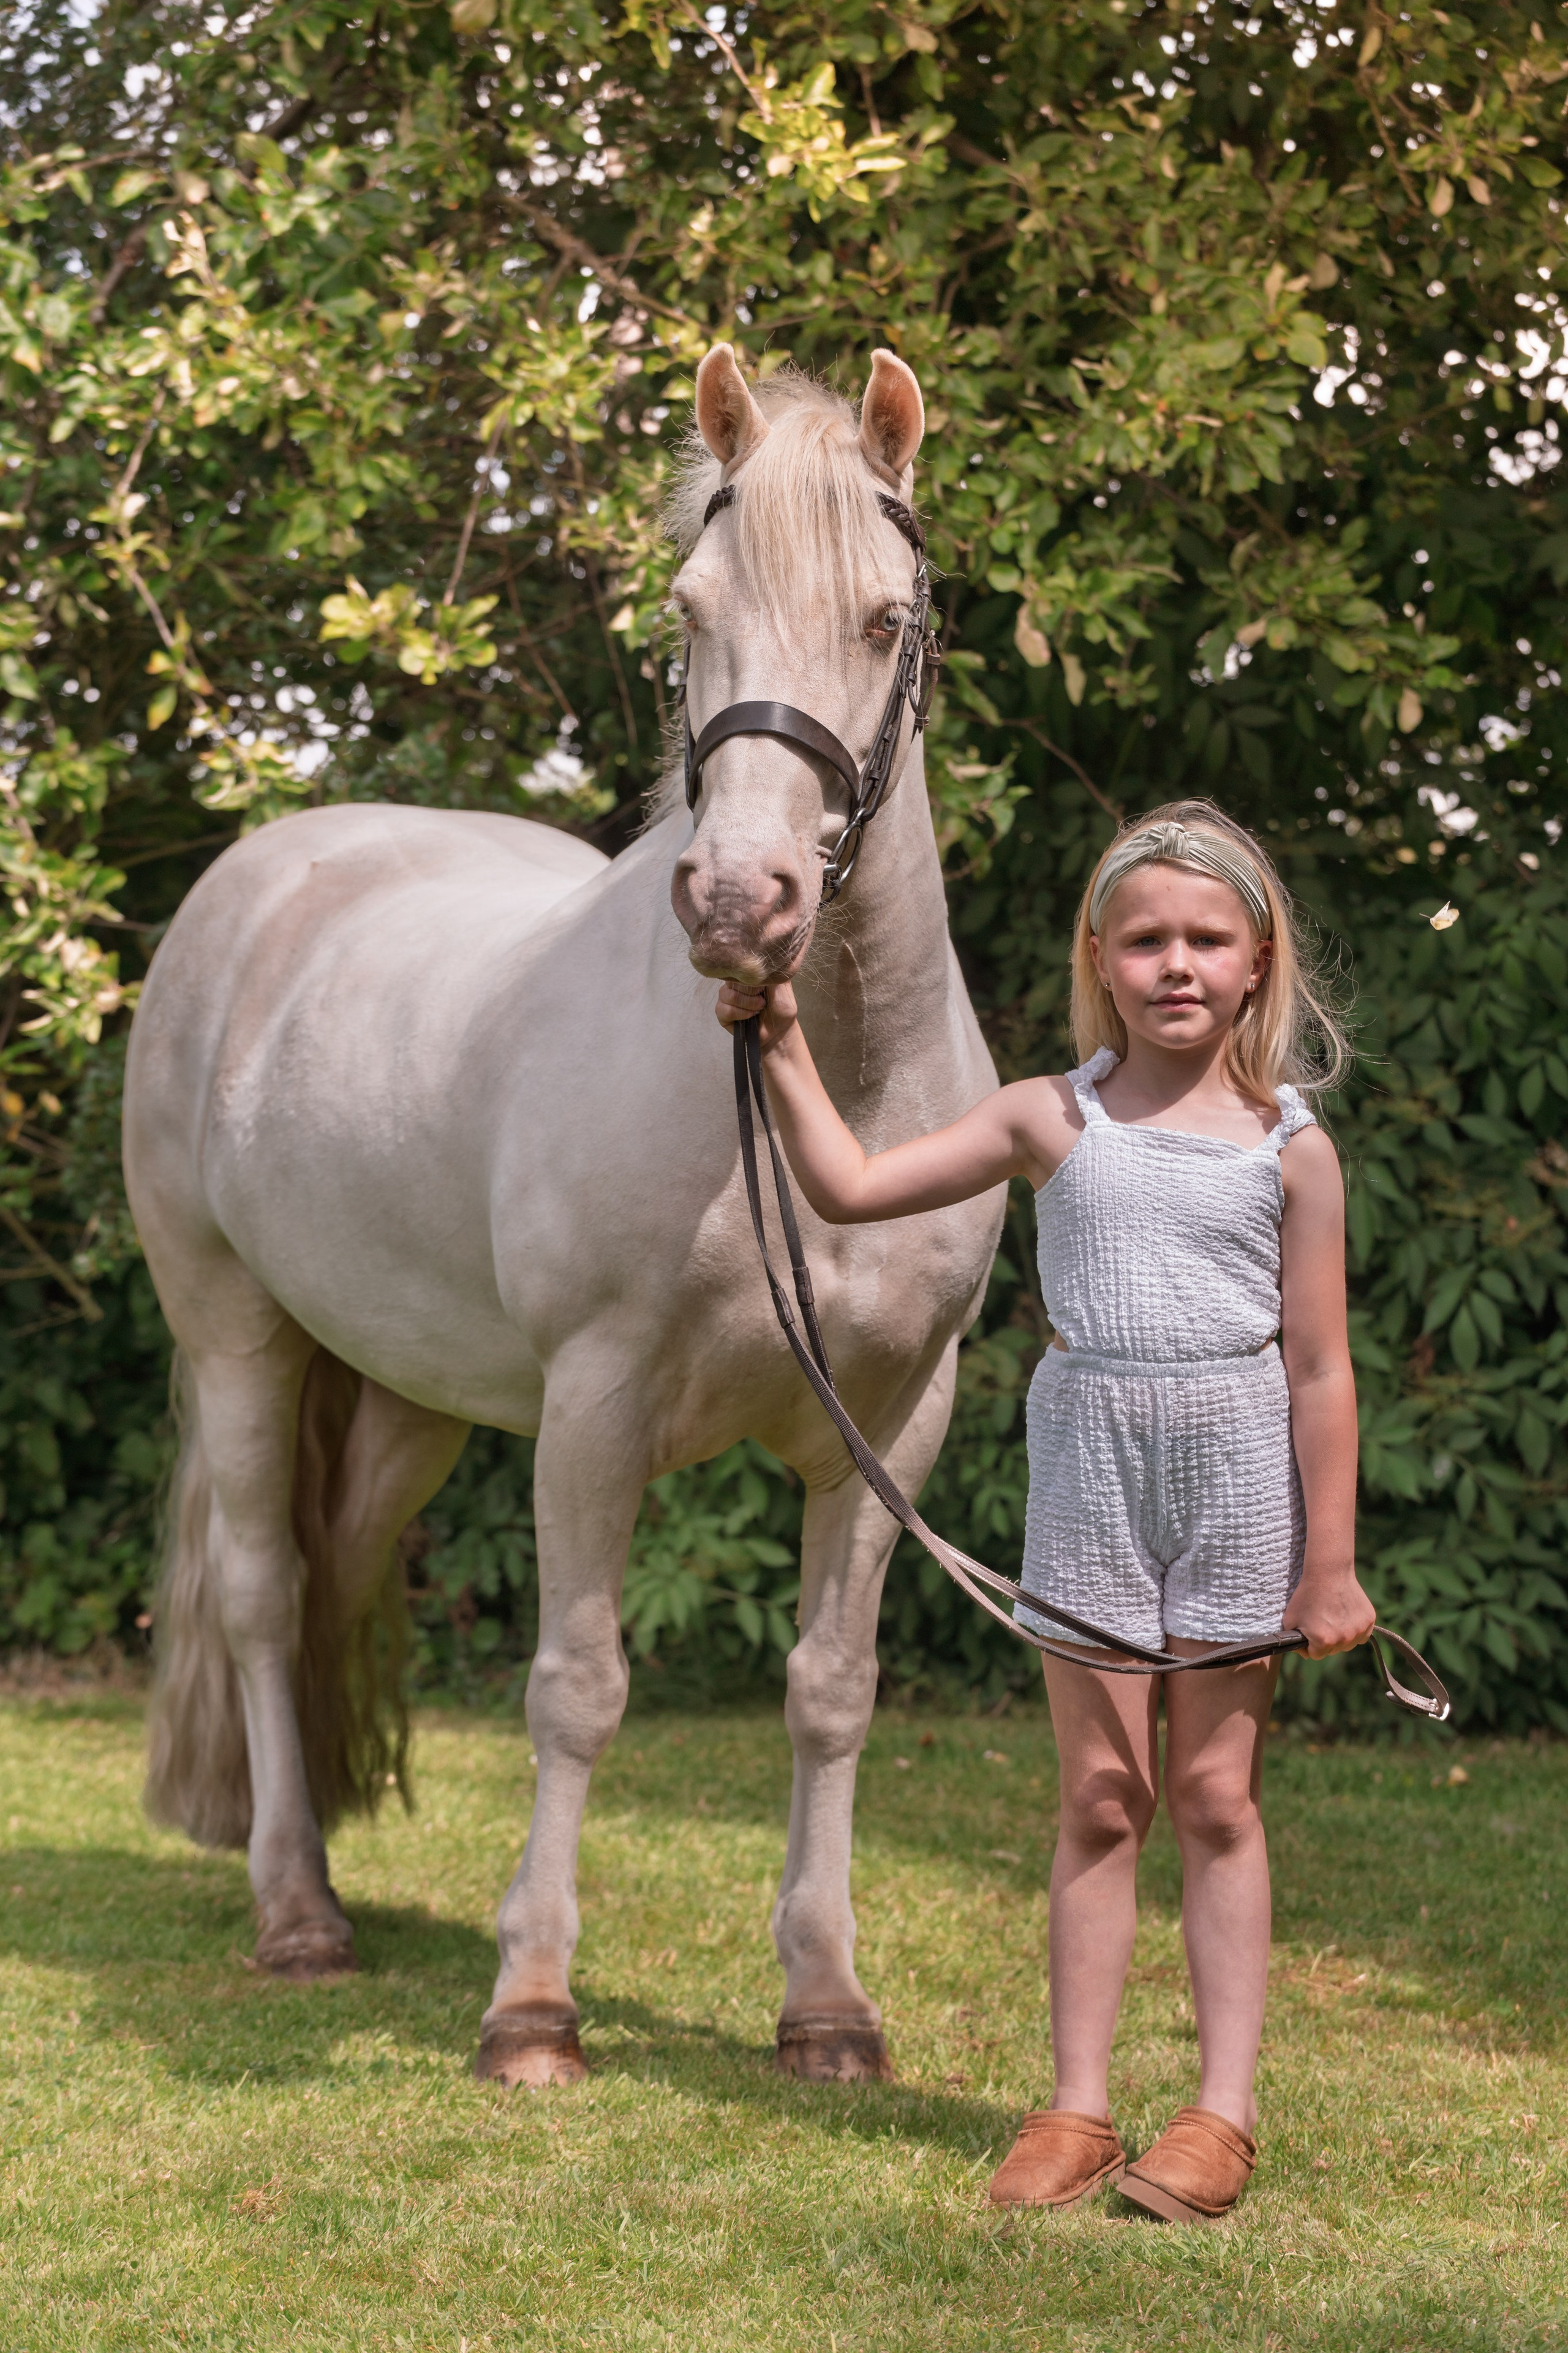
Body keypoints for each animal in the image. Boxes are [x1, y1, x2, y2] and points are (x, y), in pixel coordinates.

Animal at [123, 344, 1005, 2088]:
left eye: (885, 618)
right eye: (687, 610)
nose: (738, 904)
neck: (828, 1099)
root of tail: (261, 878)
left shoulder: (892, 1421)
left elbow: (831, 1689)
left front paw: (825, 2005)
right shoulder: (596, 1409)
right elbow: (578, 1687)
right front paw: (531, 2004)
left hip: (406, 1395)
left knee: (333, 1572)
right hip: (236, 1332)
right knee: (262, 1591)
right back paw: (295, 1911)